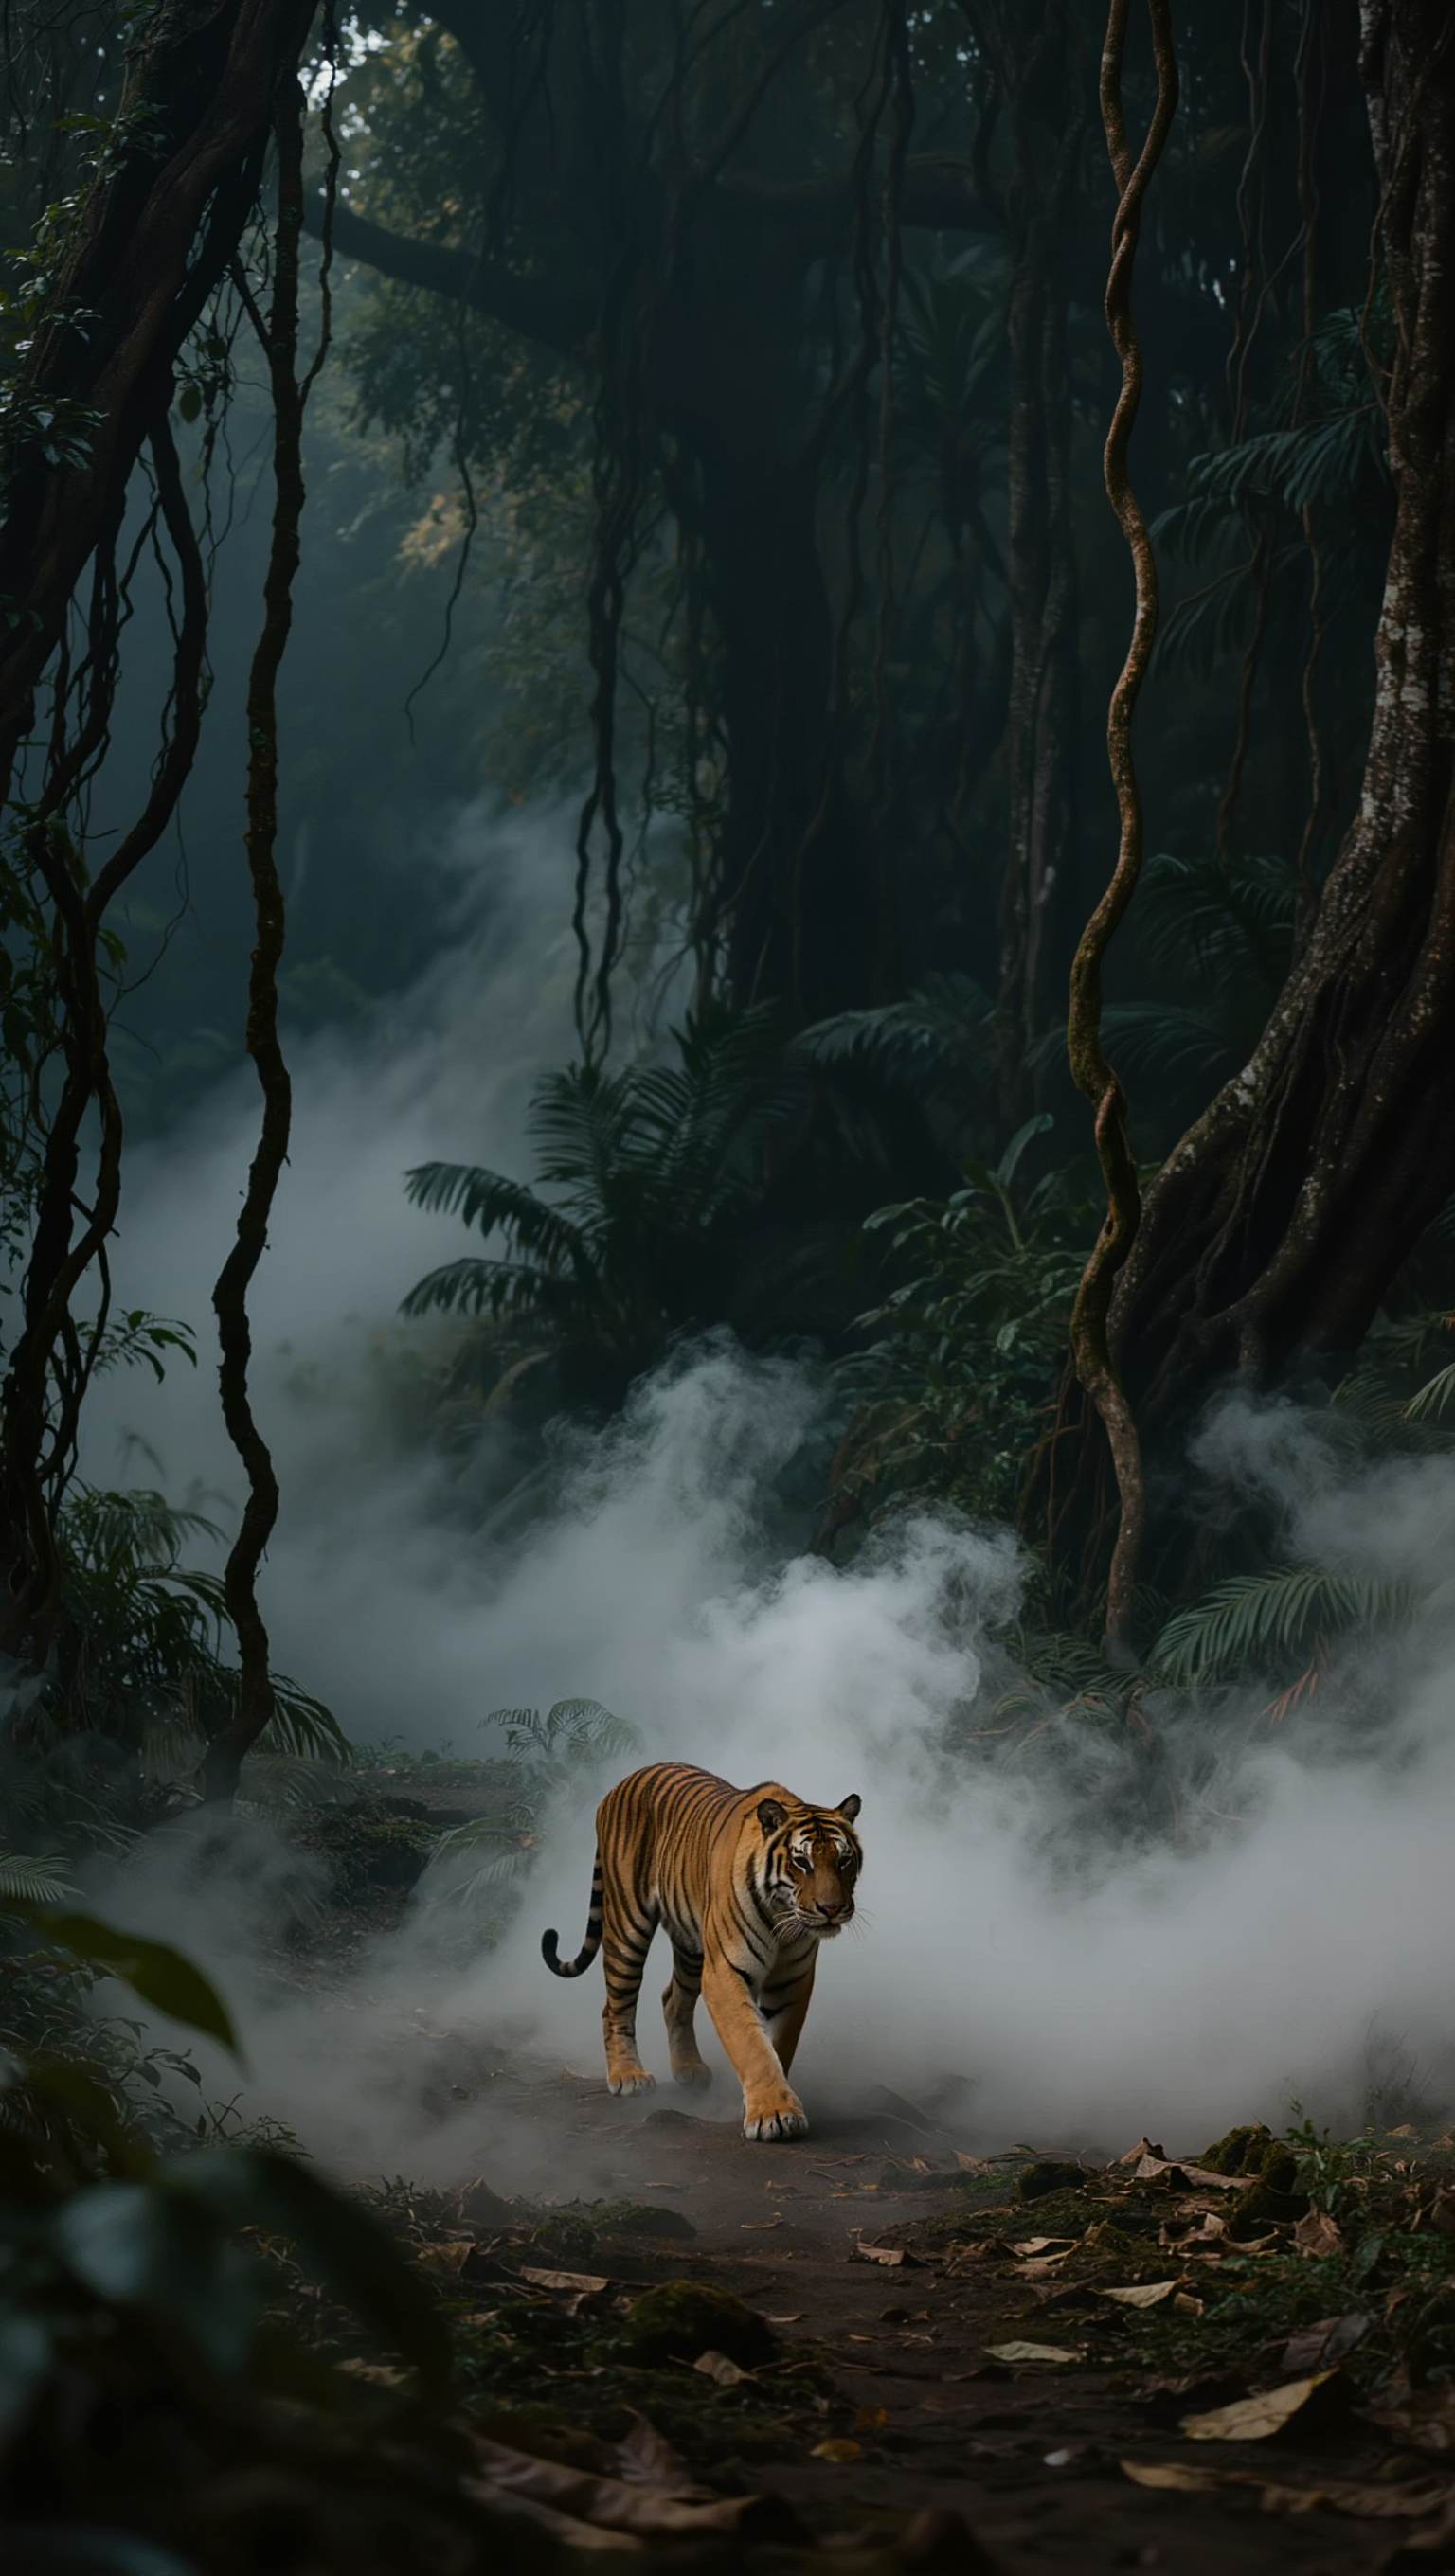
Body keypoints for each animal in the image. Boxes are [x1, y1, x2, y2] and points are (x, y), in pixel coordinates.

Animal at [542, 1760, 863, 2142]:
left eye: (844, 1860)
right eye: (802, 1862)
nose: (832, 1909)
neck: (783, 1917)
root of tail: (622, 1782)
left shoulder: (792, 1980)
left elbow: (778, 2044)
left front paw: (765, 2102)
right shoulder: (724, 1971)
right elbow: (752, 2044)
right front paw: (774, 2113)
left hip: (691, 1945)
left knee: (673, 2000)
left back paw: (688, 2068)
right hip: (628, 1926)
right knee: (615, 2006)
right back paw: (628, 2076)